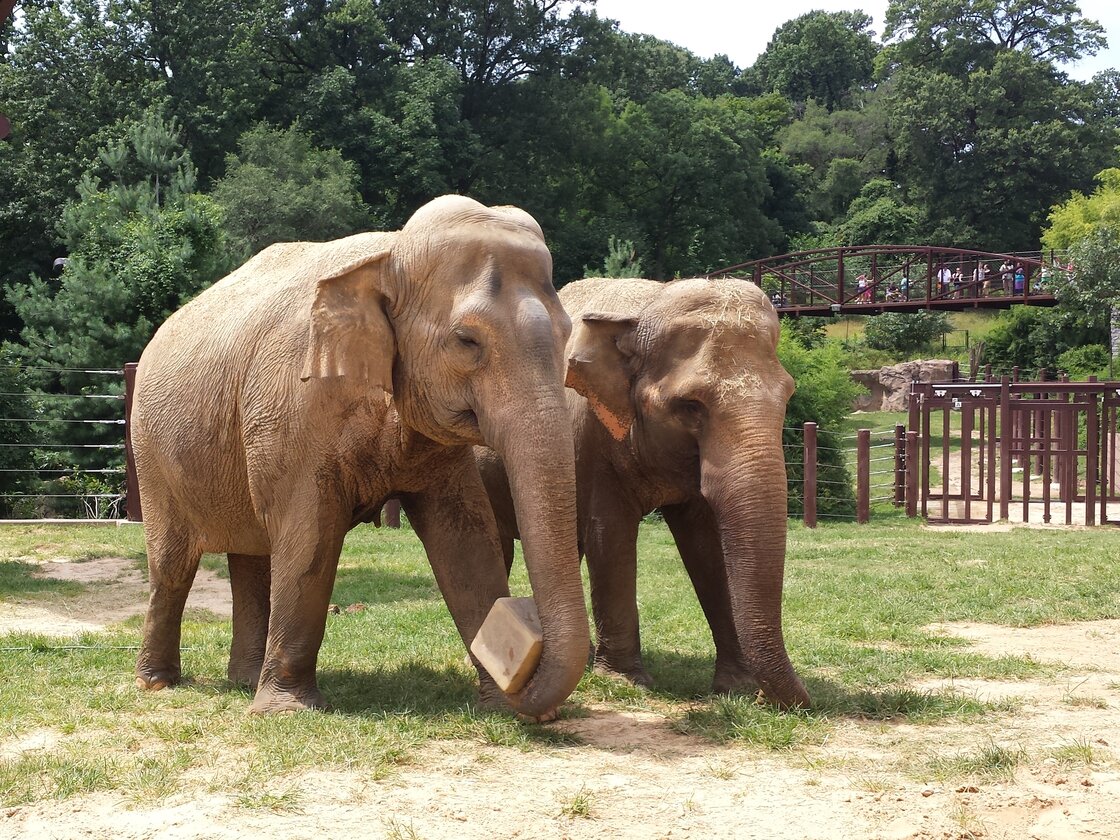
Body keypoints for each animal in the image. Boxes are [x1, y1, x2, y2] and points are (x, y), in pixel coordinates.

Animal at [132, 196, 591, 716]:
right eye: (466, 340)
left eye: (567, 333)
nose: (522, 655)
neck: (391, 252)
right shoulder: (295, 409)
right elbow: (309, 535)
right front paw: (288, 712)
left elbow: (465, 537)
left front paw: (501, 705)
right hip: (151, 453)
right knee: (172, 564)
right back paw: (156, 683)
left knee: (250, 556)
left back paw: (244, 680)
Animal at [477, 276, 810, 712]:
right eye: (691, 405)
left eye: (787, 396)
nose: (800, 701)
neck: (644, 307)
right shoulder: (589, 438)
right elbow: (610, 537)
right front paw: (626, 682)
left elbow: (706, 545)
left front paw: (735, 685)